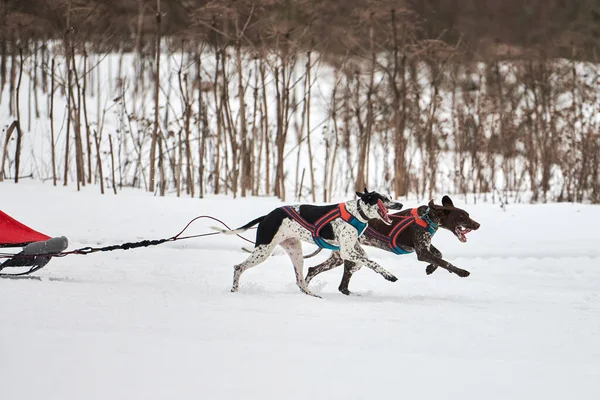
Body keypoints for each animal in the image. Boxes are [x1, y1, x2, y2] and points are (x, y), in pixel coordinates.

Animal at [308, 195, 480, 296]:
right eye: (462, 216)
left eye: (467, 215)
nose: (477, 225)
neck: (427, 217)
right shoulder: (422, 252)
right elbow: (445, 262)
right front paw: (461, 272)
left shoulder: (425, 247)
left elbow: (440, 256)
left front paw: (430, 268)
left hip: (342, 257)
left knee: (317, 272)